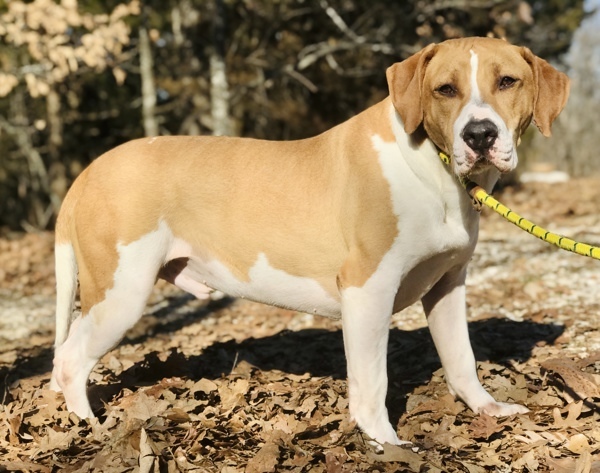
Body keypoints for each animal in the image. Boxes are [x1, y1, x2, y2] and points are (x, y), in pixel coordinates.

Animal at [50, 36, 568, 442]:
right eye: (445, 89)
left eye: (508, 82)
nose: (479, 135)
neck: (433, 169)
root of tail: (87, 173)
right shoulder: (367, 290)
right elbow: (372, 381)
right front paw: (386, 444)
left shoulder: (447, 285)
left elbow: (461, 357)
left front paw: (488, 409)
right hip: (120, 293)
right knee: (70, 359)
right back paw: (88, 427)